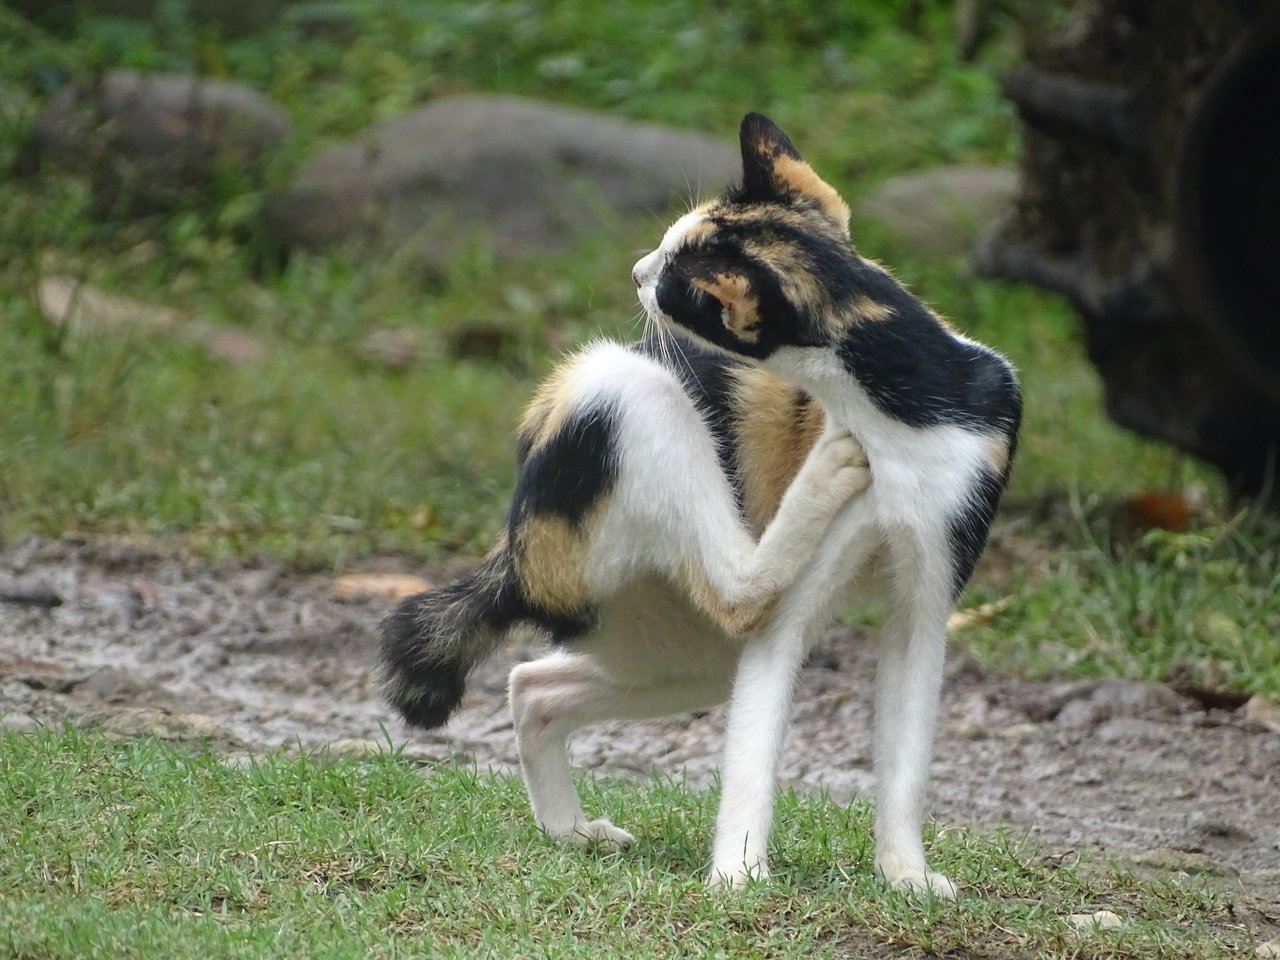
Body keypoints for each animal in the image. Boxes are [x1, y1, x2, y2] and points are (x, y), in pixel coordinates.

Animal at [376, 112, 1018, 901]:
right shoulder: (791, 614)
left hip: (677, 648)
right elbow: (757, 737)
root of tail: (517, 558)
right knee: (734, 592)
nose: (636, 271)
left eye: (674, 279)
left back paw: (570, 830)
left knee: (534, 685)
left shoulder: (929, 591)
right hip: (623, 392)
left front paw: (907, 876)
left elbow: (906, 748)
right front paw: (739, 877)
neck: (899, 398)